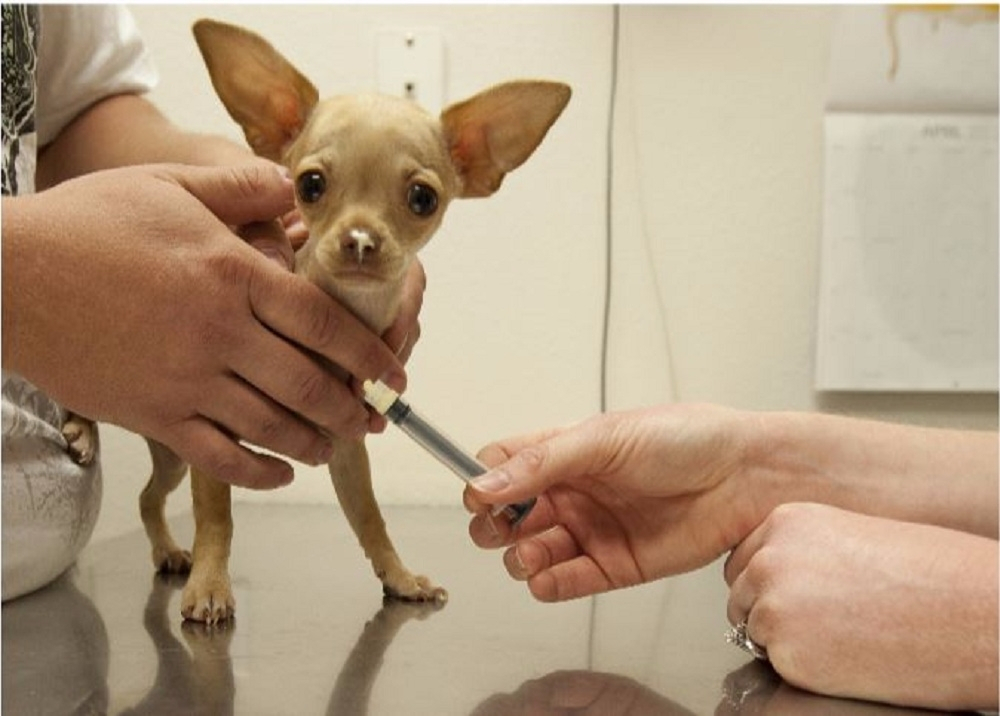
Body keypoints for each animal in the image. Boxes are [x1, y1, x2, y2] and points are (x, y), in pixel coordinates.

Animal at [136, 16, 568, 620]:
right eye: (310, 184)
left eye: (422, 198)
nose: (361, 239)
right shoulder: (216, 438)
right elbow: (215, 517)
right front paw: (210, 585)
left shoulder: (346, 448)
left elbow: (370, 519)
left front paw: (400, 577)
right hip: (179, 447)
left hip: (173, 453)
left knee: (146, 497)